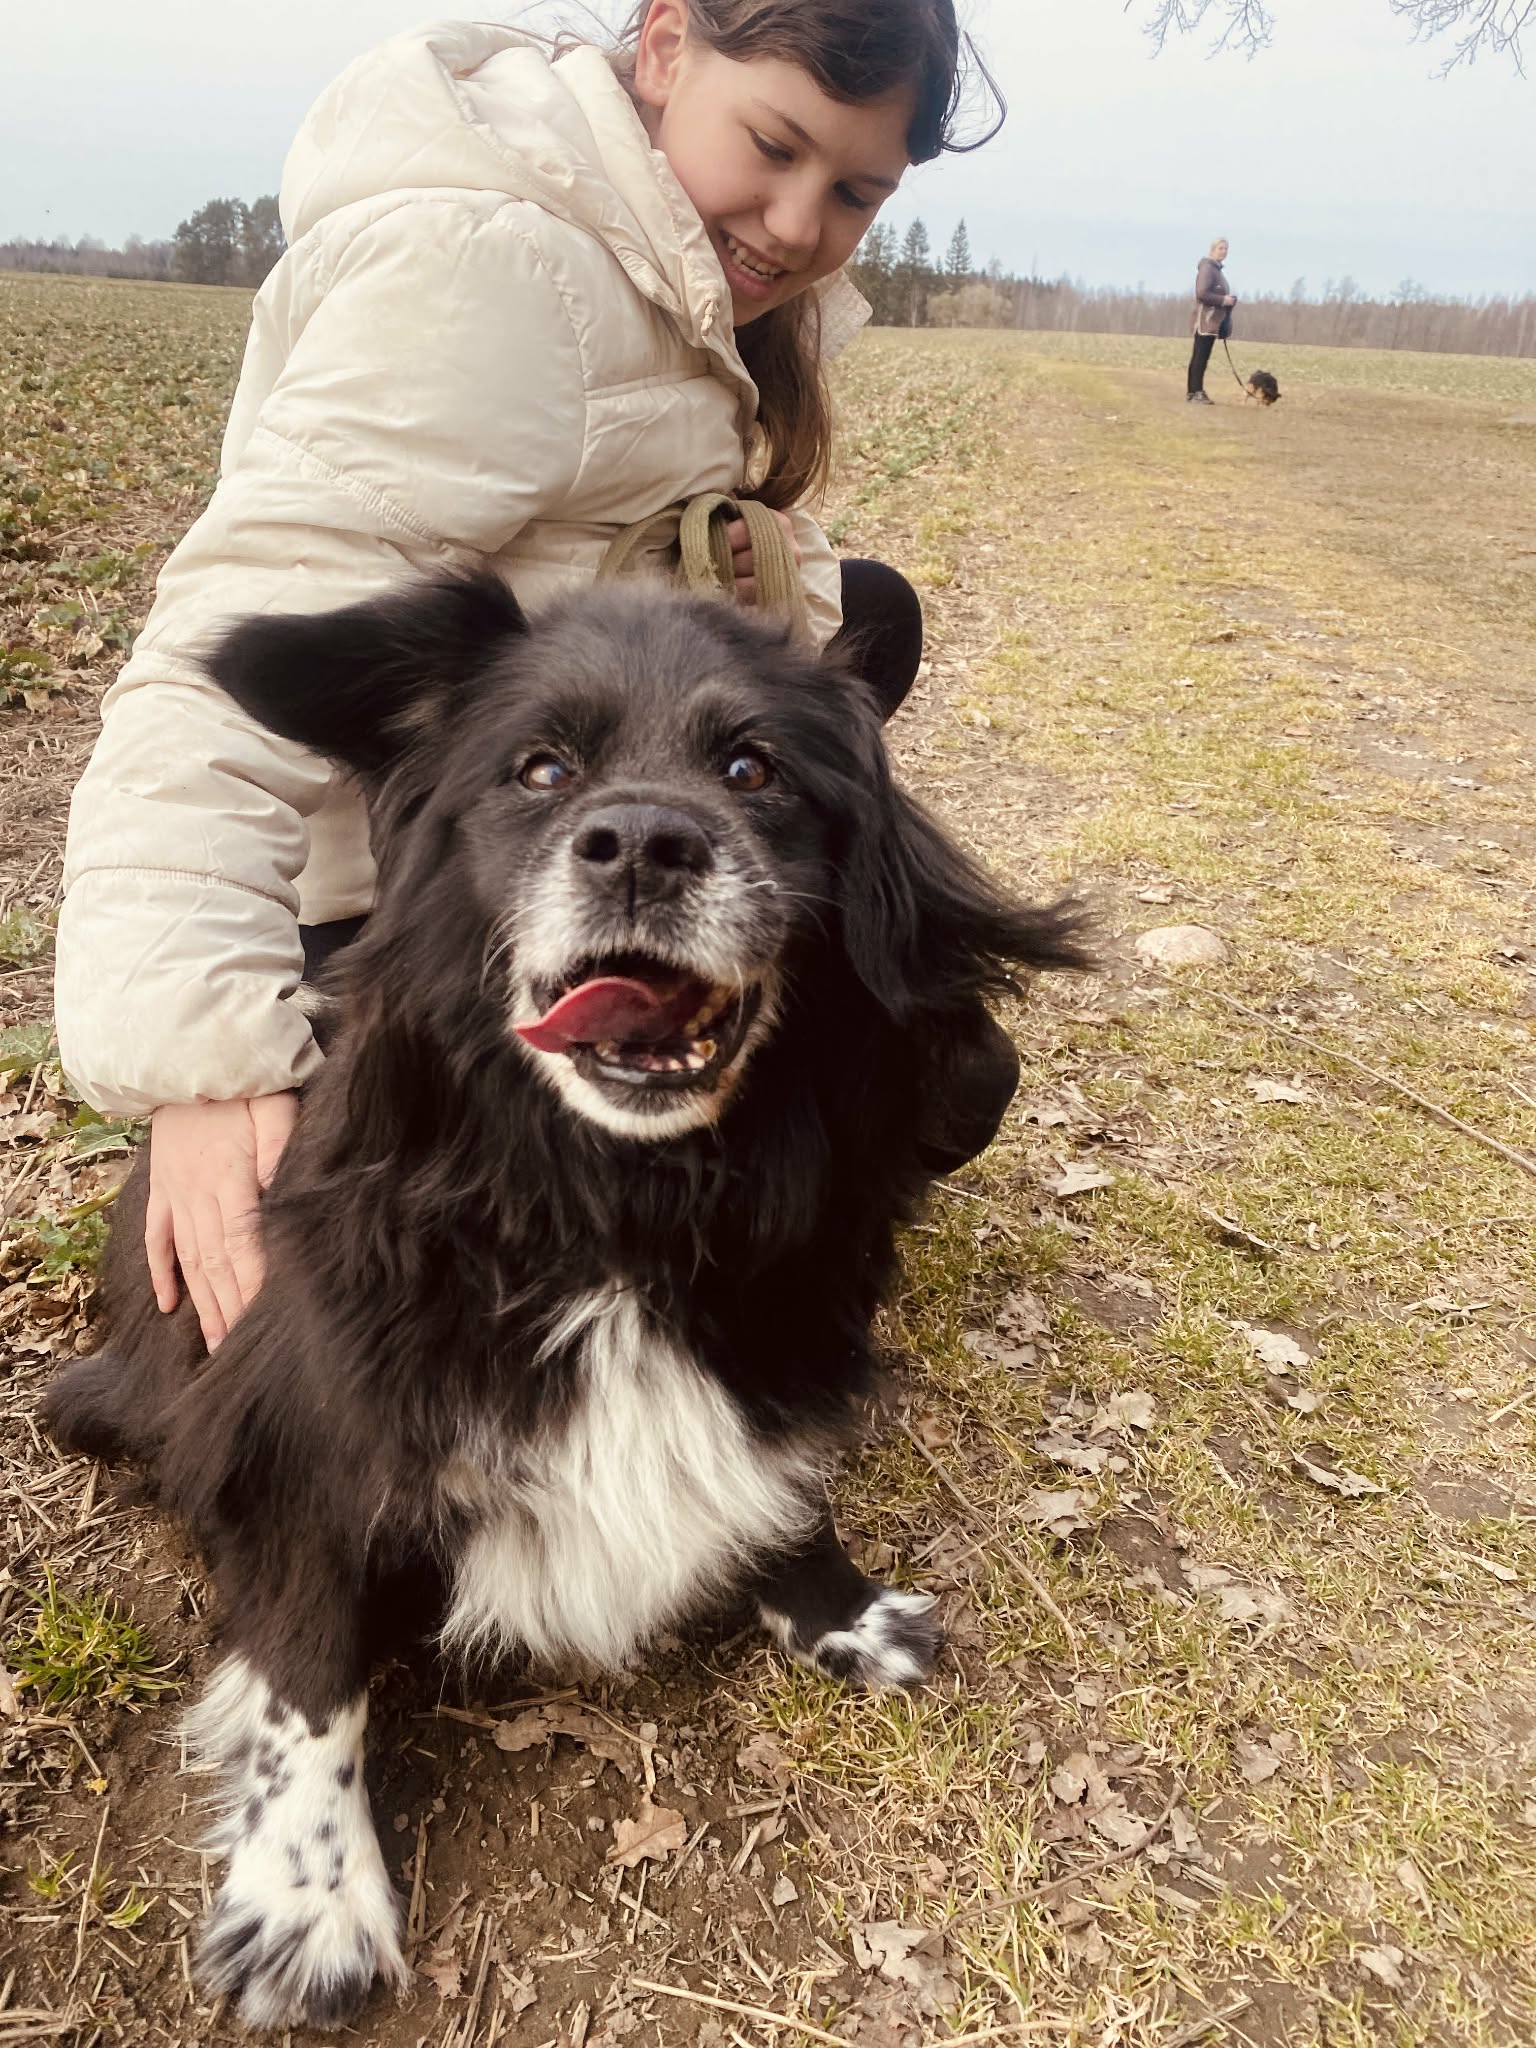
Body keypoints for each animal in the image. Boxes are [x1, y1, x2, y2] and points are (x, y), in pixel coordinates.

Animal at [43, 574, 1087, 2031]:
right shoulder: (301, 1433)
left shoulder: (780, 1321)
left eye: (755, 769)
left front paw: (832, 1606)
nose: (644, 843)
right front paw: (308, 1897)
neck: (611, 1204)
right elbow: (309, 1667)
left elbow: (787, 1482)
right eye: (539, 769)